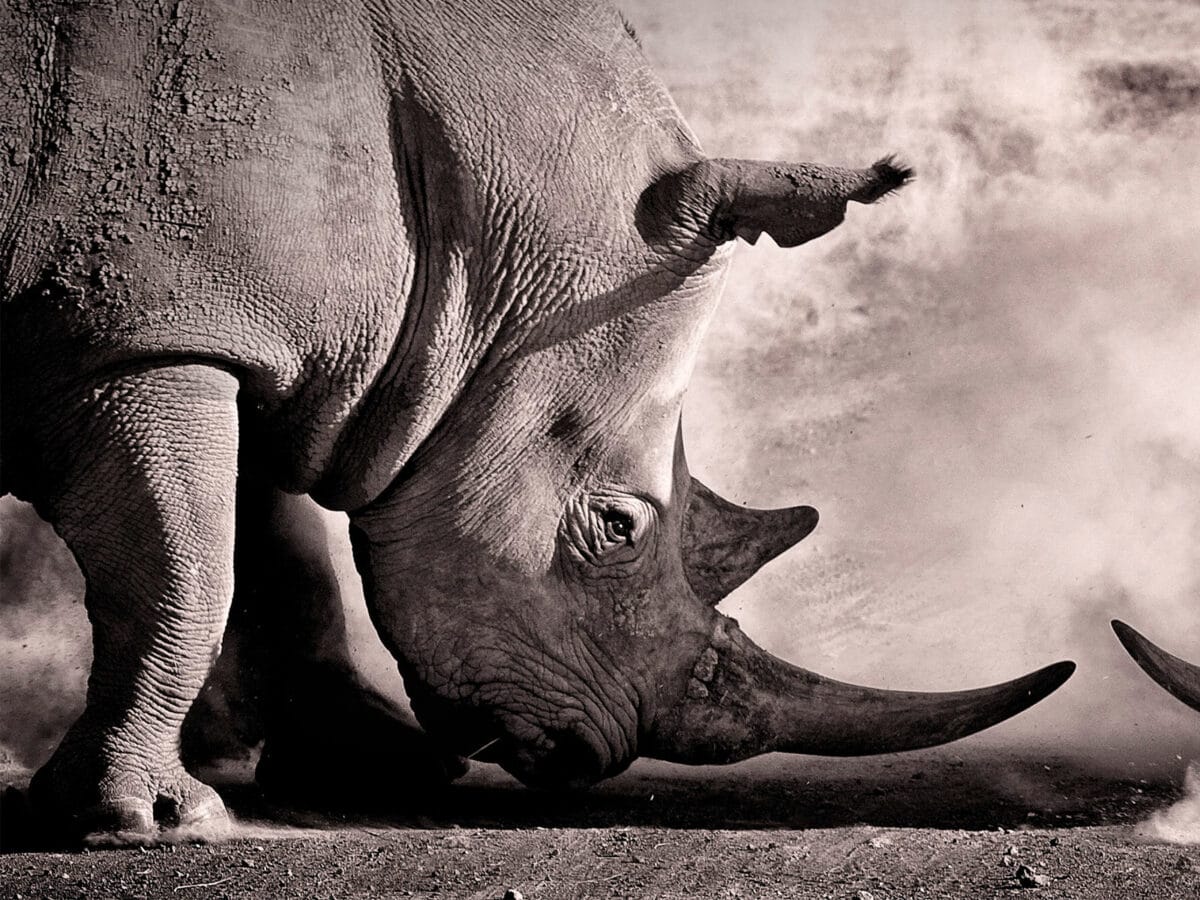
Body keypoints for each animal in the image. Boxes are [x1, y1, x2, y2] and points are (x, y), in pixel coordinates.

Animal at [1, 0, 1075, 841]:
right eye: (618, 525)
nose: (593, 755)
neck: (472, 251)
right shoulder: (143, 333)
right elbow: (187, 563)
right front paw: (151, 823)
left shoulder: (234, 337)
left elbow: (268, 554)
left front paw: (387, 768)